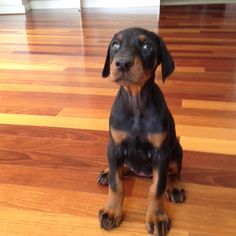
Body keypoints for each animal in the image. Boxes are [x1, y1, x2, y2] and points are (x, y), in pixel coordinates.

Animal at [97, 27, 185, 236]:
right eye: (115, 45)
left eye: (147, 46)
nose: (122, 62)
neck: (136, 101)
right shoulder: (114, 147)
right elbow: (116, 184)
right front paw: (112, 211)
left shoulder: (161, 154)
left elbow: (157, 188)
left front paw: (156, 217)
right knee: (122, 167)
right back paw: (108, 171)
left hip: (176, 153)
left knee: (174, 172)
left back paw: (175, 187)